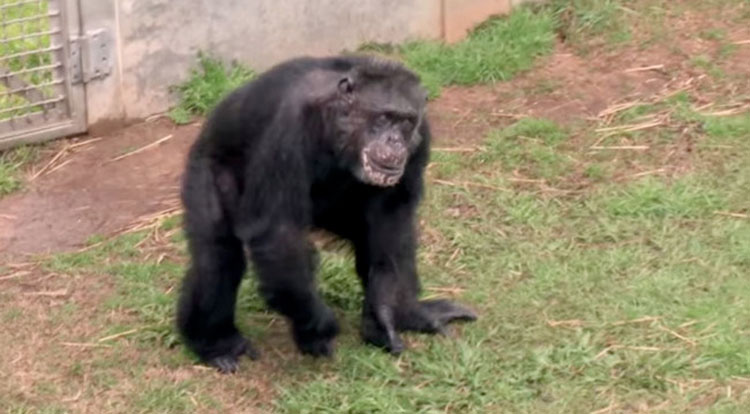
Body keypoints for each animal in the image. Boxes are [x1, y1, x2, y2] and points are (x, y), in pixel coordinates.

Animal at [178, 53, 476, 374]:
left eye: (406, 122)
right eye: (384, 118)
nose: (395, 141)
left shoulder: (422, 135)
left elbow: (392, 216)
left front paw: (385, 313)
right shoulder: (288, 125)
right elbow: (279, 233)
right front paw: (316, 326)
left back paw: (409, 315)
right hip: (206, 166)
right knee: (217, 257)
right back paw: (216, 344)